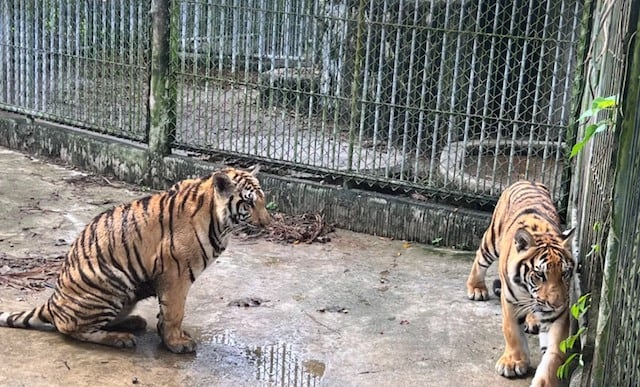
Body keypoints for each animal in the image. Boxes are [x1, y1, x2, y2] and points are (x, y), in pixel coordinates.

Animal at [0, 167, 270, 354]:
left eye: (263, 200)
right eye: (247, 203)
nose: (267, 223)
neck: (219, 223)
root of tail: (53, 301)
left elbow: (166, 313)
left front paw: (167, 335)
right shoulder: (176, 274)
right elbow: (175, 311)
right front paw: (176, 343)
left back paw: (133, 322)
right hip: (111, 283)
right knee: (70, 328)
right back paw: (120, 338)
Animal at [464, 182, 576, 387]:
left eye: (564, 273)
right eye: (540, 274)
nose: (556, 304)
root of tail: (529, 181)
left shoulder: (559, 313)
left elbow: (555, 351)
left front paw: (545, 381)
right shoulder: (510, 299)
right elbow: (511, 330)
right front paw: (513, 363)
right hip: (492, 239)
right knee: (480, 257)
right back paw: (476, 288)